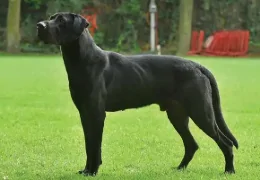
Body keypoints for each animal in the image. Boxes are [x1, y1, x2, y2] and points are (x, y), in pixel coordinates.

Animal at [36, 12, 238, 176]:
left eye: (61, 21)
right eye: (51, 17)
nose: (40, 25)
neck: (82, 60)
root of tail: (197, 66)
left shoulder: (96, 114)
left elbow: (95, 146)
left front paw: (92, 171)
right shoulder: (85, 113)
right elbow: (89, 145)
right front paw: (86, 170)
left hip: (201, 112)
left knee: (225, 143)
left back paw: (228, 171)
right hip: (178, 114)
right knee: (191, 144)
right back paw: (179, 169)